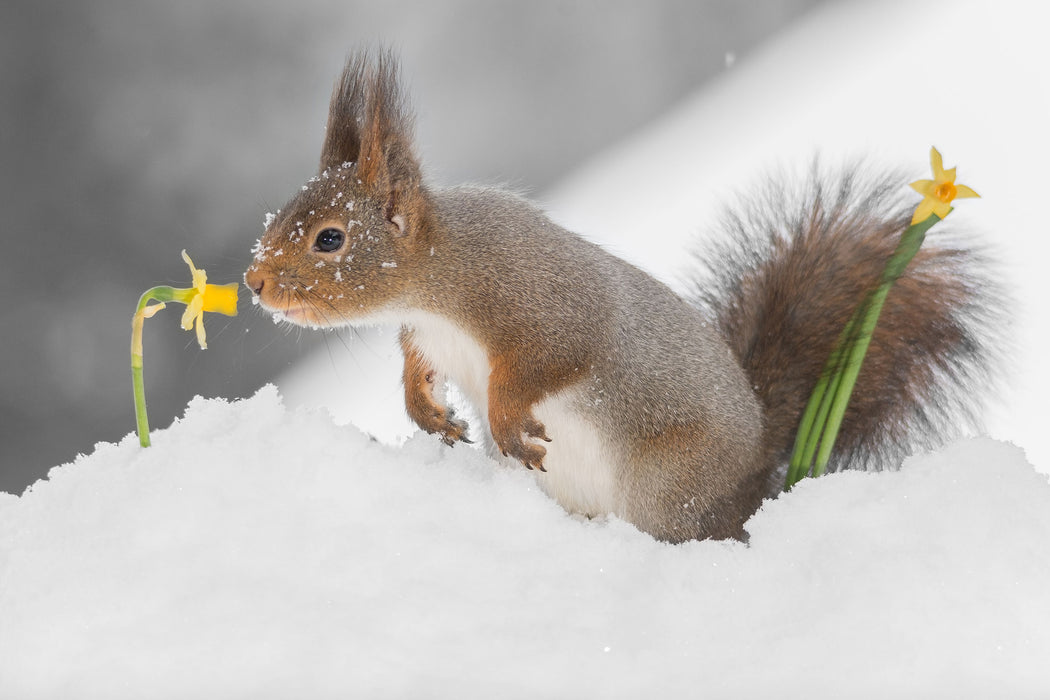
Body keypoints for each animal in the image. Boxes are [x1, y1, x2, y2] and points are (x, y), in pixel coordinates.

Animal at [241, 51, 995, 545]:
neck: (438, 280)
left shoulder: (545, 304)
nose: (254, 283)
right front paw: (428, 413)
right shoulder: (427, 337)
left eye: (331, 239)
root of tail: (759, 469)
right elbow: (416, 368)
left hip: (668, 489)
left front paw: (506, 419)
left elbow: (551, 360)